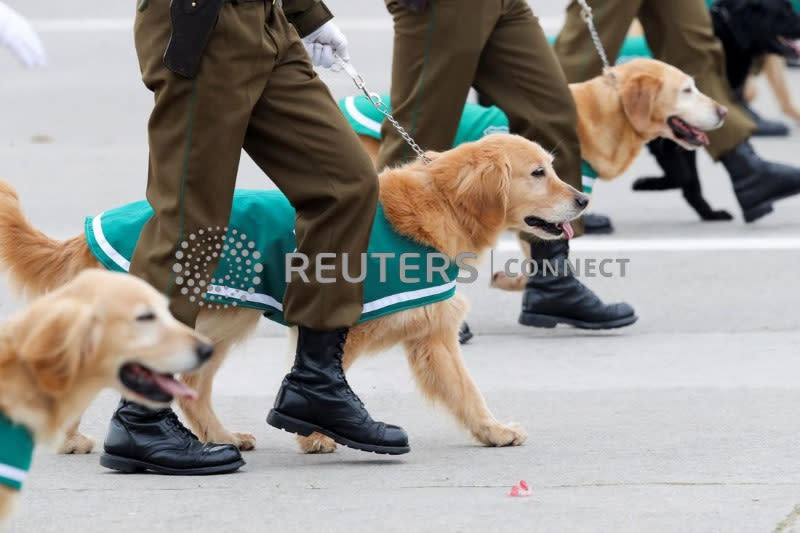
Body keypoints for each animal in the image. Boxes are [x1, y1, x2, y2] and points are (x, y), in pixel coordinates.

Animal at [0, 133, 588, 454]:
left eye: (553, 167)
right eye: (539, 172)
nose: (583, 199)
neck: (438, 207)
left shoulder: (434, 335)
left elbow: (467, 392)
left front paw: (493, 431)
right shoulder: (347, 327)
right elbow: (323, 381)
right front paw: (317, 434)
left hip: (219, 325)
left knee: (192, 386)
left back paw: (219, 436)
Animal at [632, 0, 800, 220]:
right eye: (785, 9)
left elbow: (690, 179)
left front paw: (708, 213)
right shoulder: (667, 137)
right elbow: (685, 176)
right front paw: (647, 183)